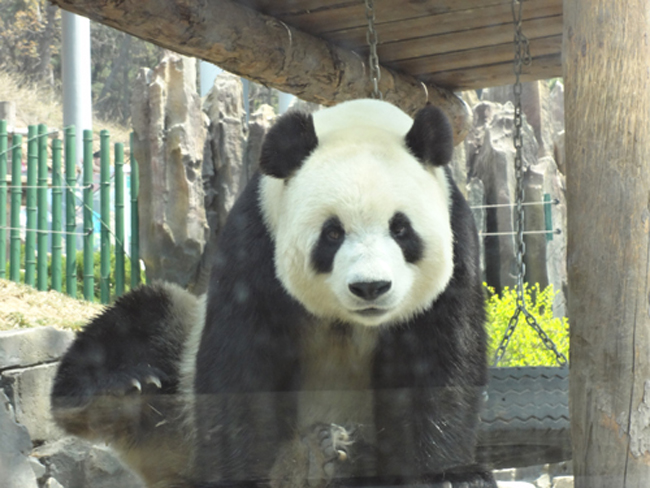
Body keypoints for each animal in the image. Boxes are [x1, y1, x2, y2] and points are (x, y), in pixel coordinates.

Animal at [51, 99, 496, 488]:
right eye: (332, 234)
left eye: (400, 229)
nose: (370, 287)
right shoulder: (254, 243)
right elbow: (242, 368)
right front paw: (243, 476)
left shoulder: (459, 244)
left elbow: (438, 363)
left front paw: (451, 475)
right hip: (178, 394)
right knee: (148, 317)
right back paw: (118, 391)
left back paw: (331, 458)